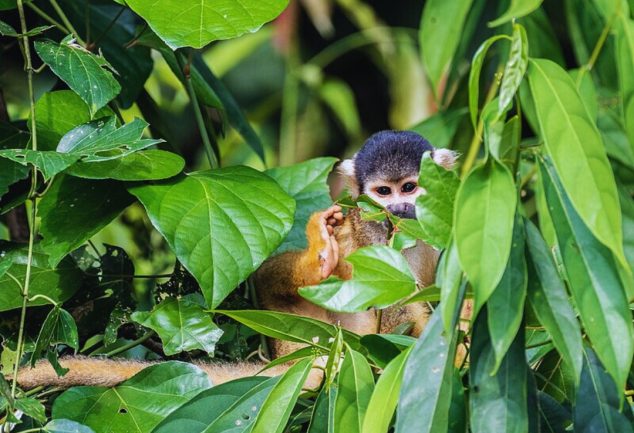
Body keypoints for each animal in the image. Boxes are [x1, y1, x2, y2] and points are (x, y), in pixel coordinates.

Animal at [16, 129, 454, 388]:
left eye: (409, 188)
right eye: (382, 192)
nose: (398, 209)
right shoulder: (369, 225)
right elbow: (391, 301)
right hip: (311, 336)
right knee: (273, 278)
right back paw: (318, 258)